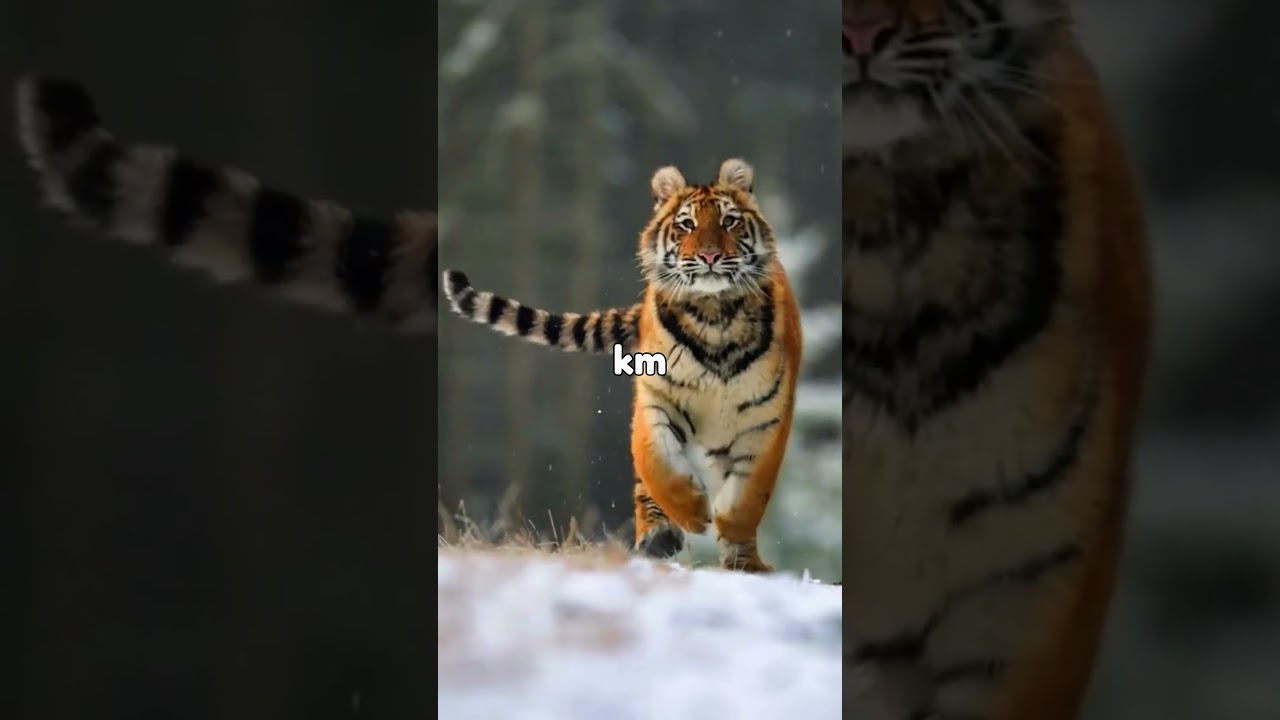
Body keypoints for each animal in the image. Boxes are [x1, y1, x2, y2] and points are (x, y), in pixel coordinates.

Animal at [442, 158, 802, 573]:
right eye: (686, 225)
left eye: (729, 222)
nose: (710, 256)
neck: (714, 316)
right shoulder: (657, 399)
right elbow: (657, 465)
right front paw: (693, 512)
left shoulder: (767, 420)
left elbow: (746, 498)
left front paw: (742, 555)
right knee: (647, 486)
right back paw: (658, 537)